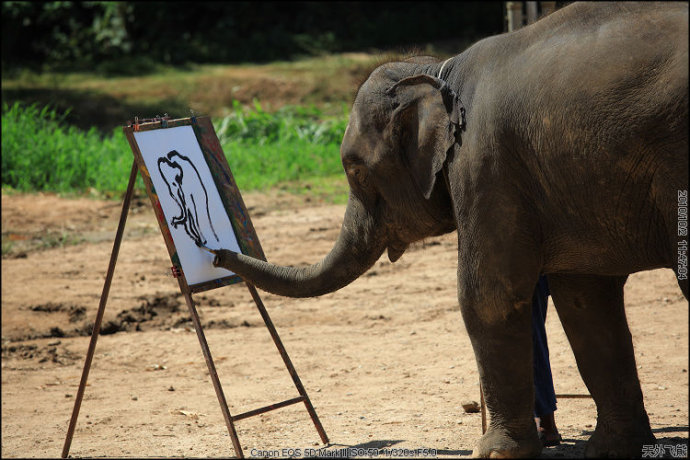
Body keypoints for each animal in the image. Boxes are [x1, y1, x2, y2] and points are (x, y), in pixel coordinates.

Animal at [213, 2, 688, 458]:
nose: (215, 252)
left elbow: (487, 294)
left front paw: (495, 453)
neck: (441, 71)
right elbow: (585, 301)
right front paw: (611, 450)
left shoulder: (484, 164)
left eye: (357, 172)